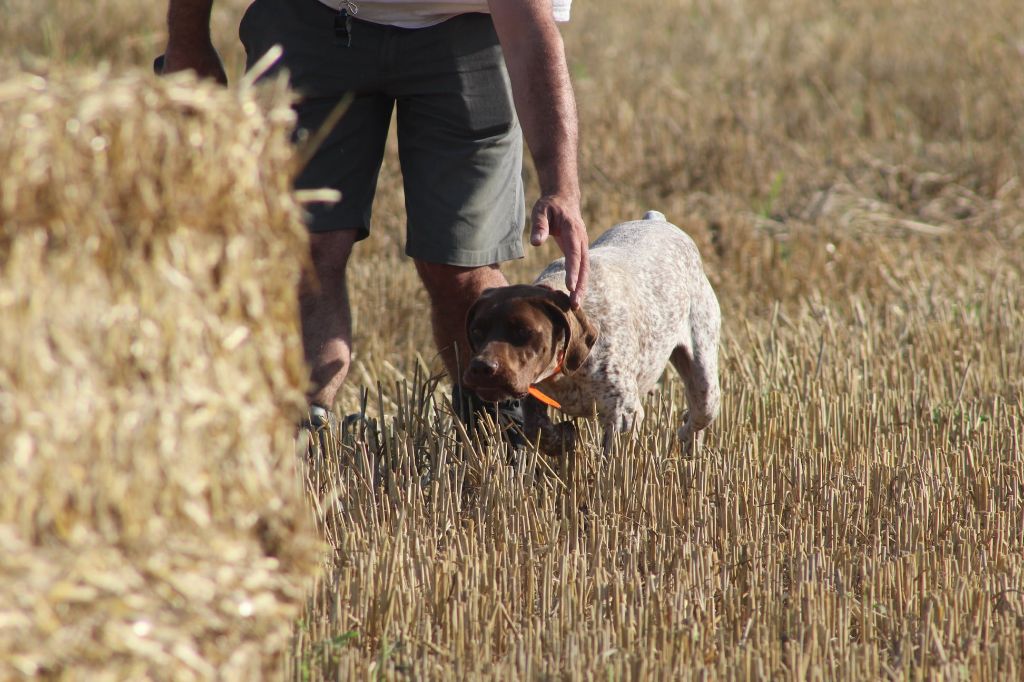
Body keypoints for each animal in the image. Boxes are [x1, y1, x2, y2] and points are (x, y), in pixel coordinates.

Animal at [464, 209, 720, 454]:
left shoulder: (623, 415)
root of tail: (656, 220)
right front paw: (565, 437)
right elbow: (538, 428)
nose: (481, 367)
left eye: (523, 331)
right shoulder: (532, 396)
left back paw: (687, 439)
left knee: (701, 414)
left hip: (704, 380)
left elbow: (613, 461)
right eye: (476, 331)